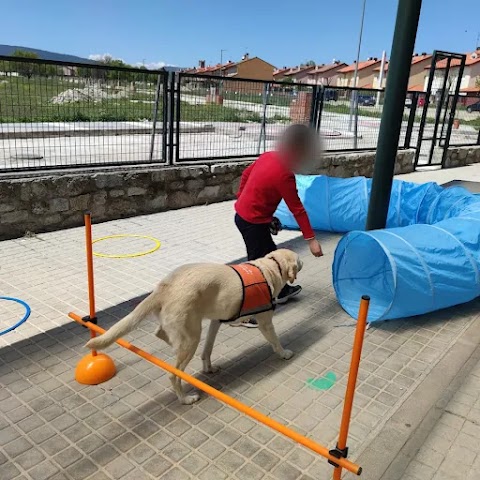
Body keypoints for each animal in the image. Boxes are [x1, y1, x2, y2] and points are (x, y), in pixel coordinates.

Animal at [86, 249, 302, 404]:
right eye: (299, 261)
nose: (303, 262)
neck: (270, 267)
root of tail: (164, 286)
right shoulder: (265, 322)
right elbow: (275, 340)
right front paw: (284, 353)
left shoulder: (215, 321)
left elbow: (207, 350)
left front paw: (208, 368)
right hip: (191, 338)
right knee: (173, 375)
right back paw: (185, 399)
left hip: (188, 330)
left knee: (161, 333)